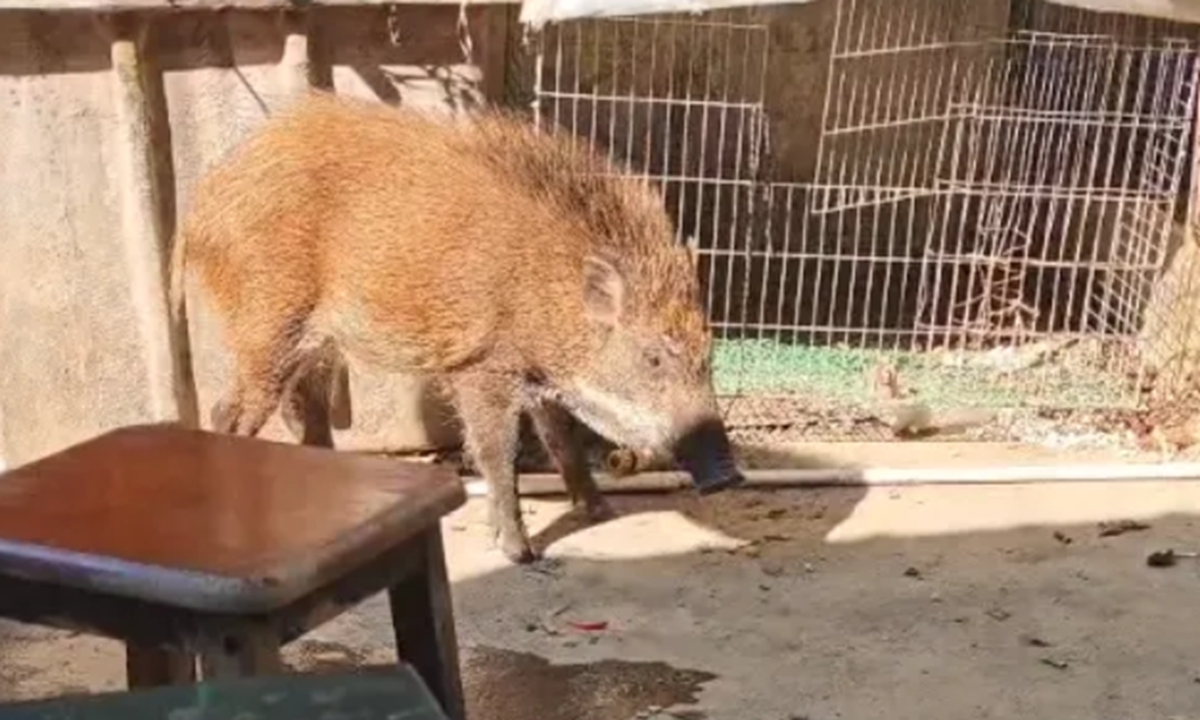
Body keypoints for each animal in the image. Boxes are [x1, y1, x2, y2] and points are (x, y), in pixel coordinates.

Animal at [169, 91, 745, 563]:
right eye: (653, 356)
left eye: (709, 351)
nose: (728, 475)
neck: (548, 292)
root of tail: (201, 204)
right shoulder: (482, 367)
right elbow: (497, 453)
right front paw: (520, 553)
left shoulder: (539, 381)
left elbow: (562, 441)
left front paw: (600, 511)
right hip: (266, 326)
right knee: (227, 410)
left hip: (310, 345)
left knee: (303, 414)